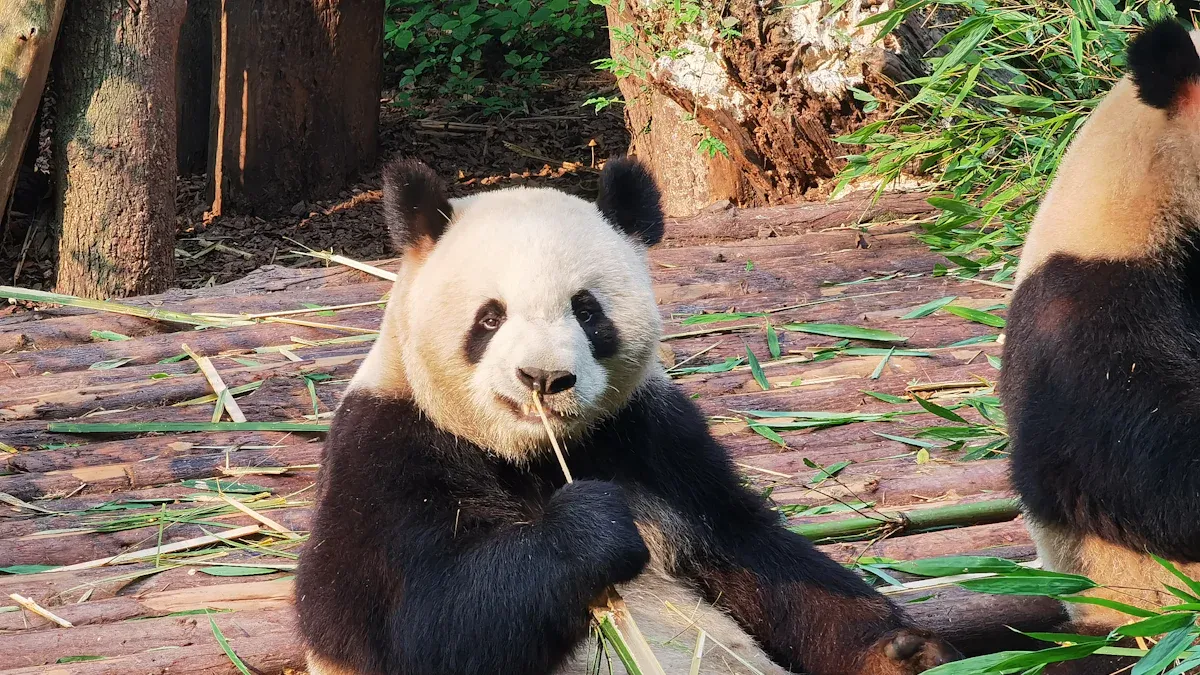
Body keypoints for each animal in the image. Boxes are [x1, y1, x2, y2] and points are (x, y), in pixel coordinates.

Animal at [294, 155, 961, 675]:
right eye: (490, 317)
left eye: (587, 311)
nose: (544, 379)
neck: (534, 453)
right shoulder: (387, 452)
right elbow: (415, 628)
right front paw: (591, 527)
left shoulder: (651, 438)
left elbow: (756, 556)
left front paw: (899, 651)